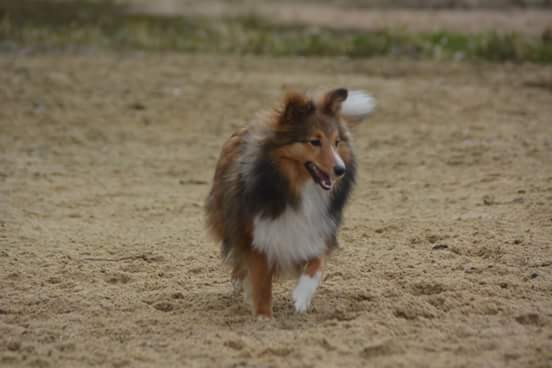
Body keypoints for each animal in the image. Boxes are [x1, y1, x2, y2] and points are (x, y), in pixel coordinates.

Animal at [205, 88, 374, 316]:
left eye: (337, 142)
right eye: (315, 141)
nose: (341, 170)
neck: (299, 189)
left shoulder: (317, 229)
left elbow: (316, 265)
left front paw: (301, 297)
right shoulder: (259, 234)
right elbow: (262, 283)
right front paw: (264, 316)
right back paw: (238, 284)